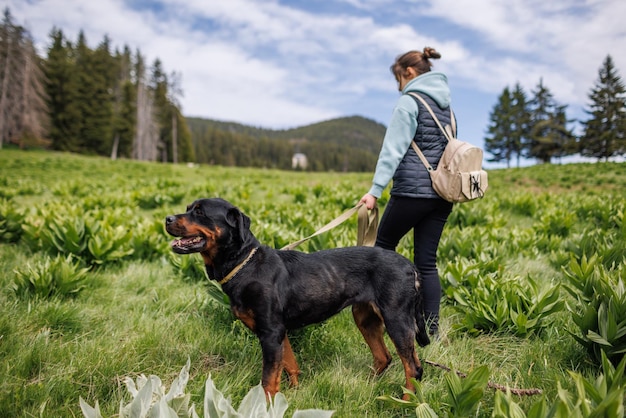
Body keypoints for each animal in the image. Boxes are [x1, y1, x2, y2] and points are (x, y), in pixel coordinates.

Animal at [166, 199, 428, 398]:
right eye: (189, 207)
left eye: (200, 212)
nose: (167, 218)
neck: (244, 264)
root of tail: (410, 266)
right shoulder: (279, 332)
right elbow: (289, 365)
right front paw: (291, 394)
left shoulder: (270, 332)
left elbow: (268, 379)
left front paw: (266, 405)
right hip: (365, 317)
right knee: (384, 357)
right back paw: (368, 386)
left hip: (396, 319)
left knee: (413, 368)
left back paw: (406, 401)